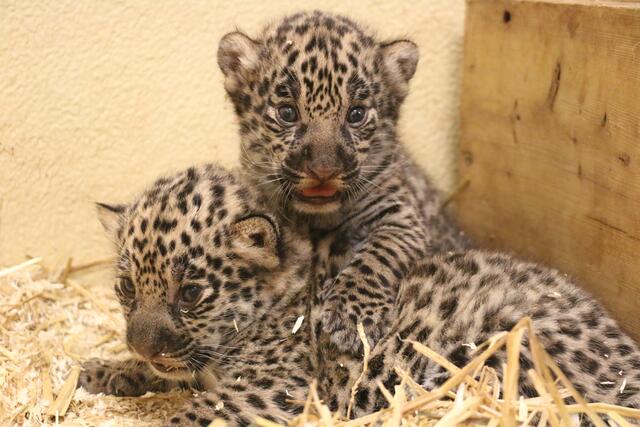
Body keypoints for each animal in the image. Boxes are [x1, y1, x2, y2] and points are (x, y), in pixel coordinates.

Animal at [79, 164, 640, 426]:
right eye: (126, 288)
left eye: (192, 292)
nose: (142, 346)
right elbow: (169, 376)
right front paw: (104, 370)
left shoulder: (275, 387)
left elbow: (199, 410)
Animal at [217, 10, 470, 354]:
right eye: (287, 113)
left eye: (356, 114)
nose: (323, 170)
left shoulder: (402, 216)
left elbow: (380, 254)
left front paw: (352, 317)